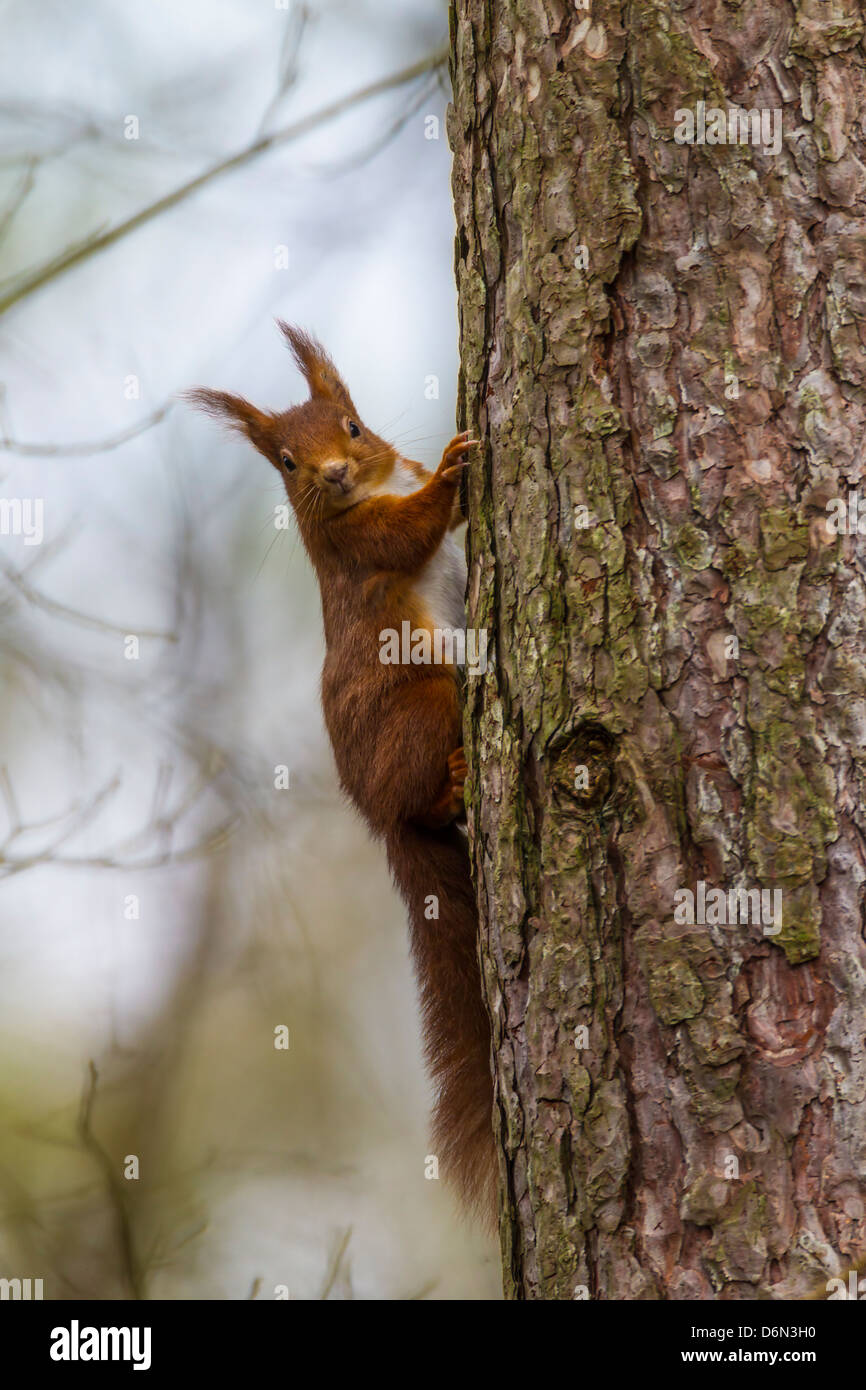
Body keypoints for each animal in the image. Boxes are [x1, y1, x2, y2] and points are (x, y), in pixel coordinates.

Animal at [187, 325, 500, 1217]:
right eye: (288, 462)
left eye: (353, 427)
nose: (332, 474)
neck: (363, 496)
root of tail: (380, 816)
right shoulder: (355, 548)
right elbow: (408, 533)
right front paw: (455, 467)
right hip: (428, 700)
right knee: (428, 791)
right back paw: (455, 777)